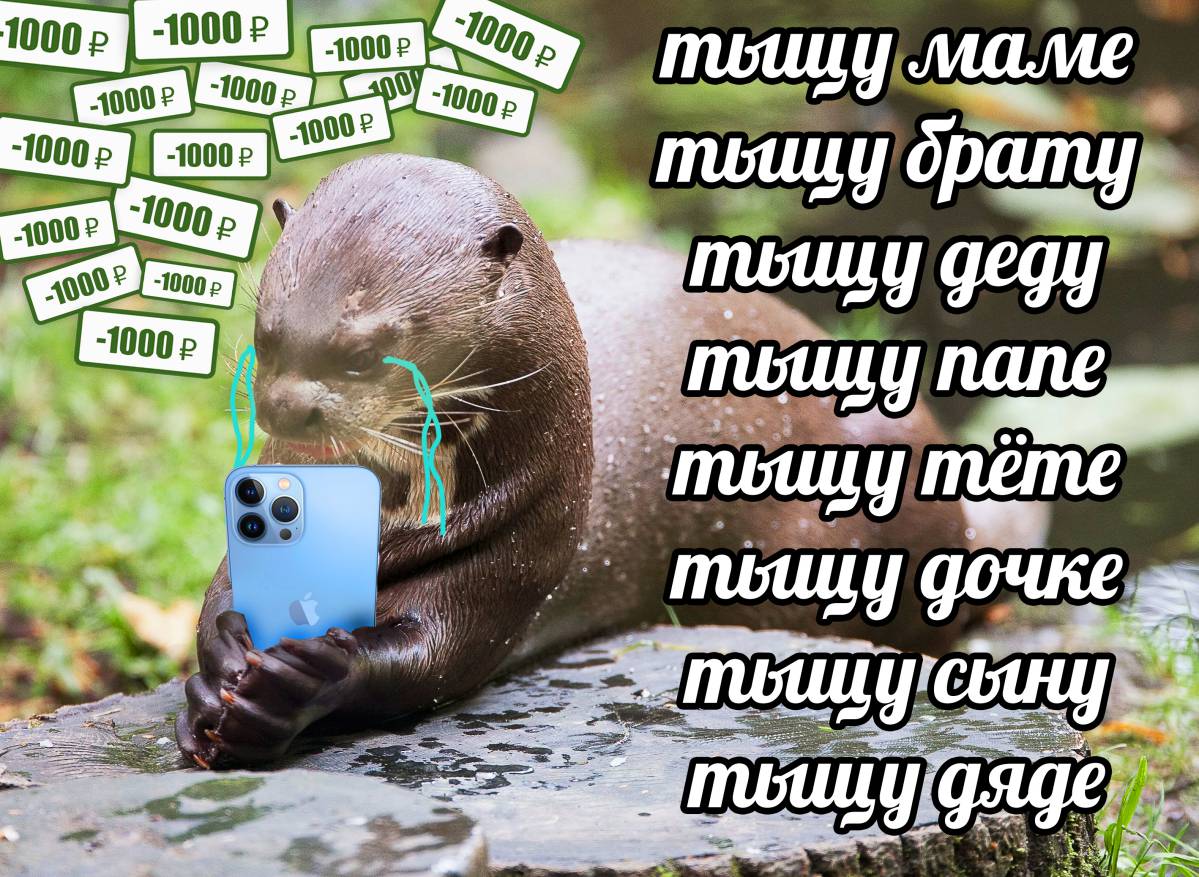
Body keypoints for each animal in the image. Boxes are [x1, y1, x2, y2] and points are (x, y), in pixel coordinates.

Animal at [176, 154, 1007, 768]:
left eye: (365, 348)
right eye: (267, 333)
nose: (288, 406)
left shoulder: (521, 551)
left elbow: (435, 658)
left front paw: (296, 682)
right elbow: (217, 599)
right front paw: (217, 674)